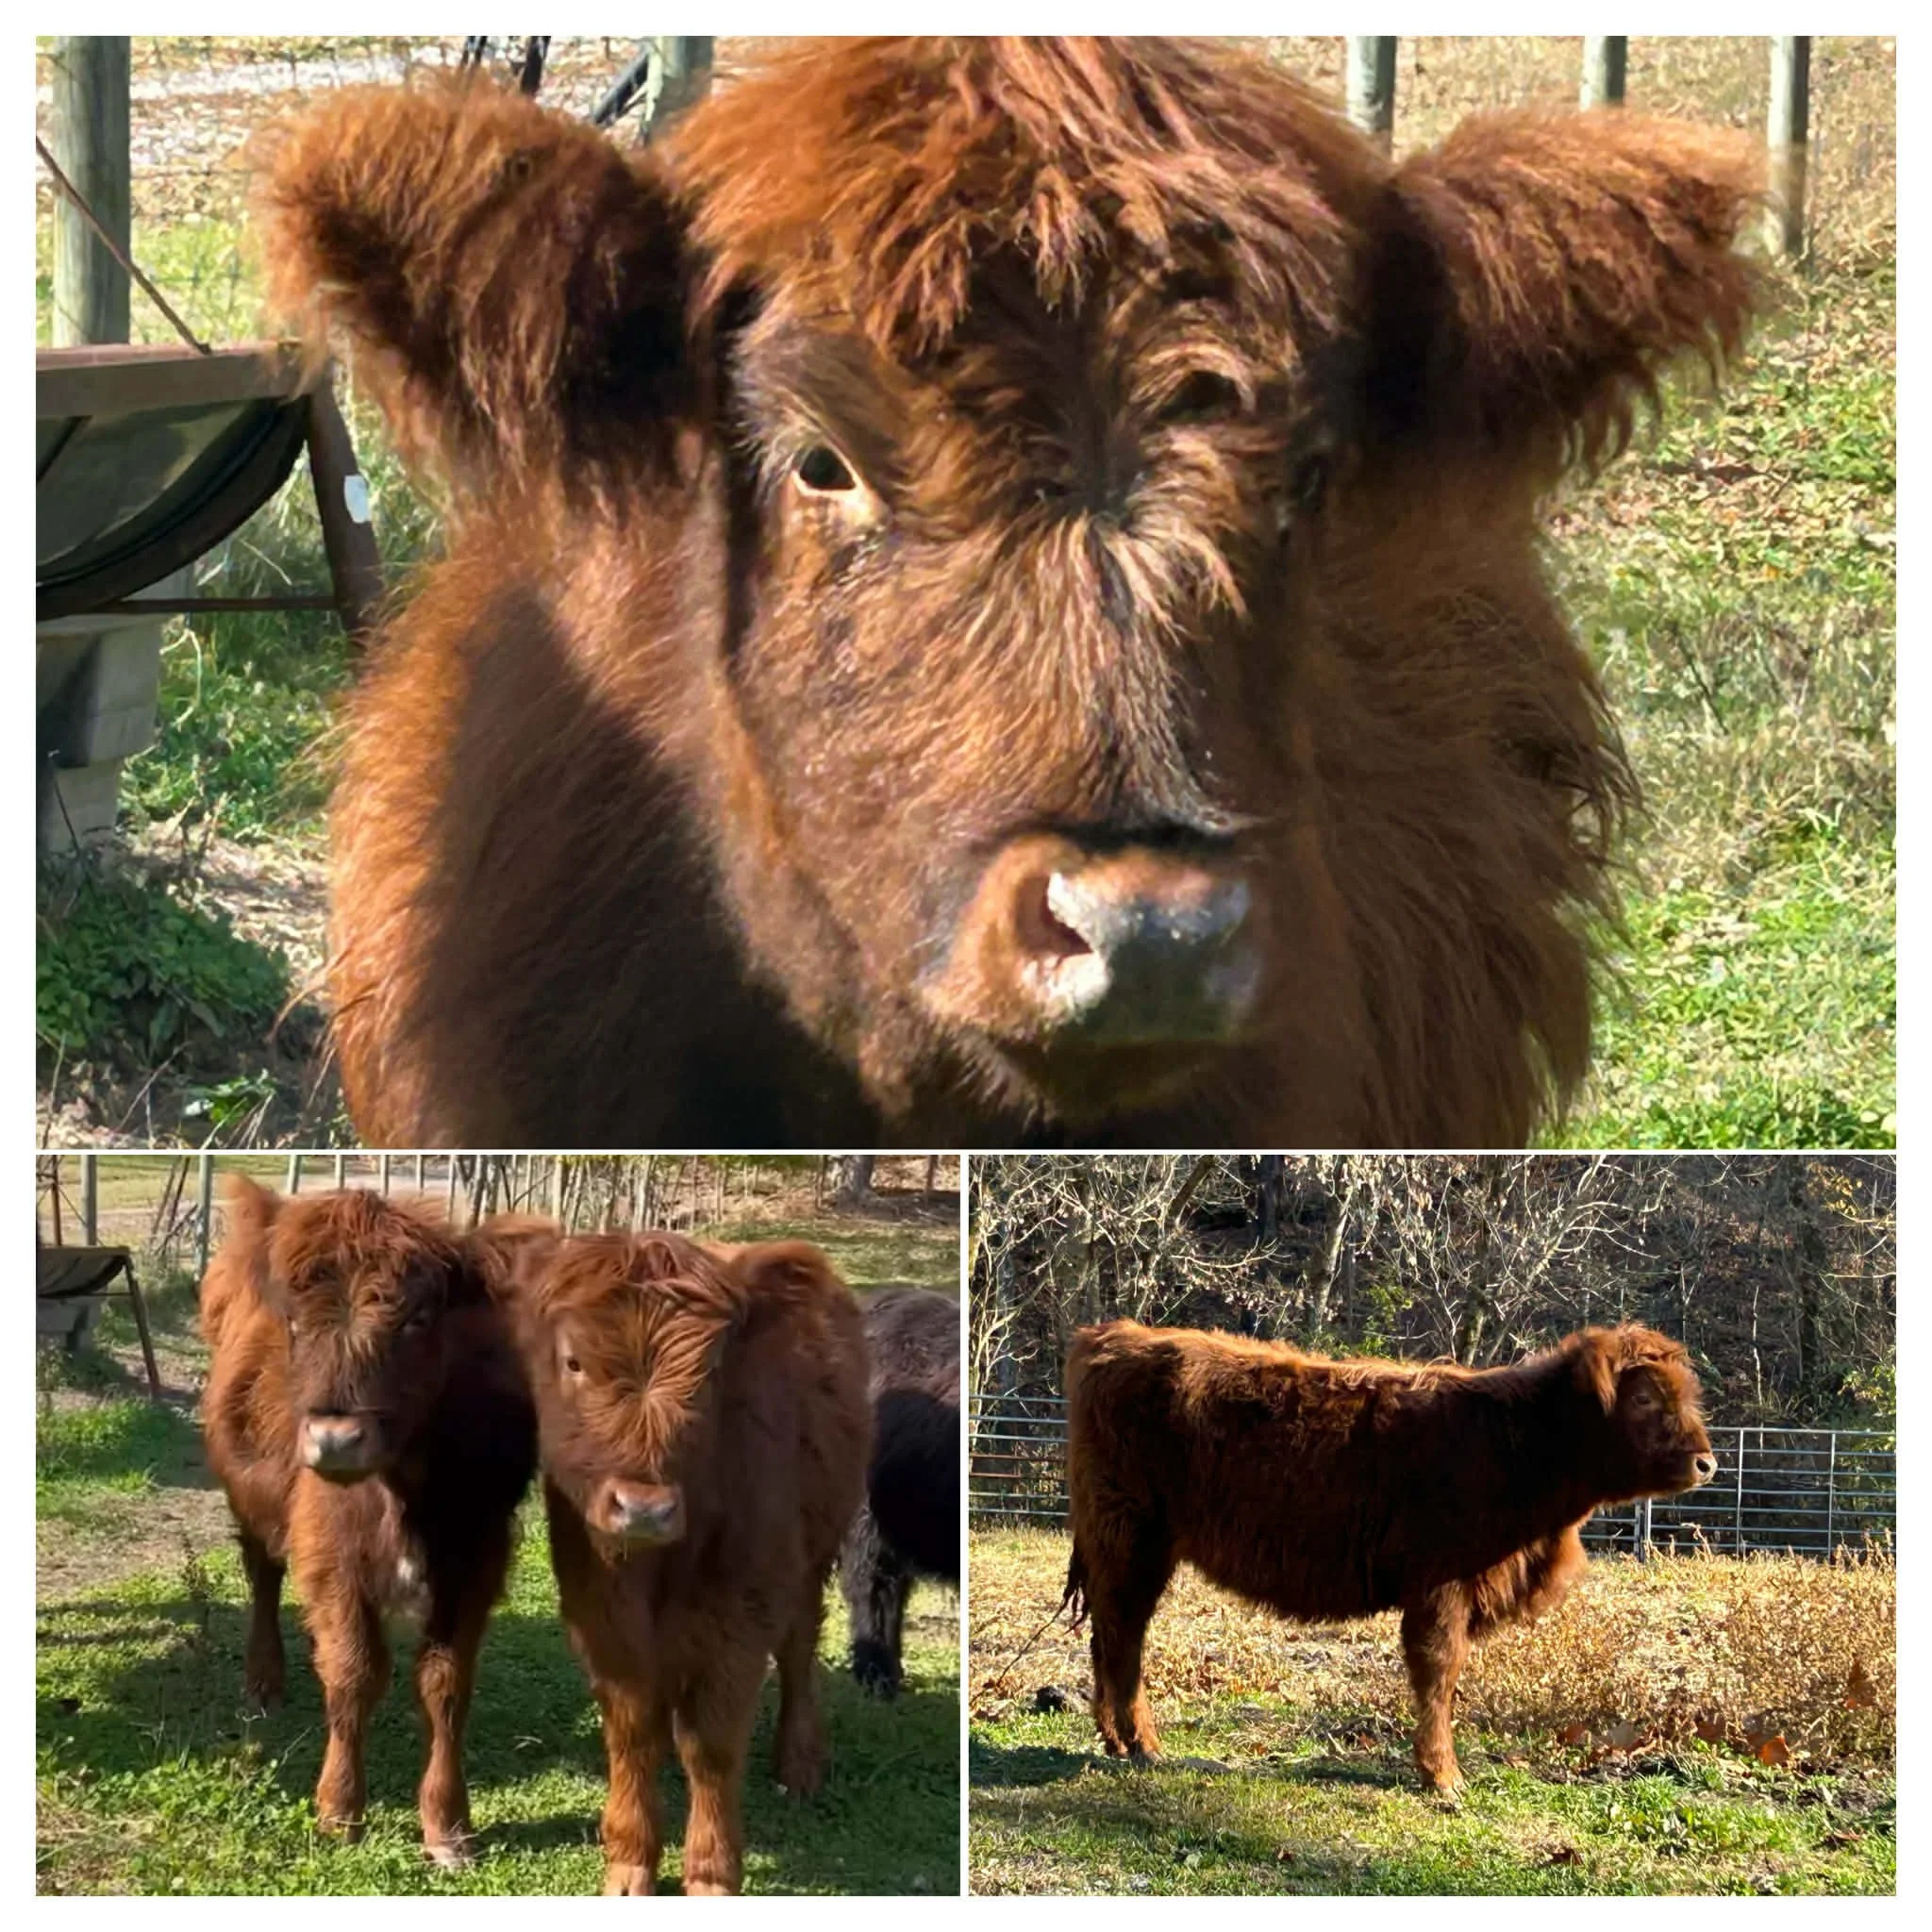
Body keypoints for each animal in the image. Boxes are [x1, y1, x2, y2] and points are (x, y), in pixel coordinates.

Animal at [197, 1180, 545, 1865]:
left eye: (417, 1319)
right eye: (295, 1320)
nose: (335, 1440)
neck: (404, 1483)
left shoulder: (475, 1556)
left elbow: (445, 1684)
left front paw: (448, 1826)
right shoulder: (334, 1557)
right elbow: (354, 1675)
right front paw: (340, 1809)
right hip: (251, 1497)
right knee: (262, 1574)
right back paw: (264, 1682)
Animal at [495, 1230, 869, 1894]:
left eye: (713, 1369)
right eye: (573, 1362)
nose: (644, 1508)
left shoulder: (742, 1612)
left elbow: (712, 1744)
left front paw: (711, 1871)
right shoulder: (600, 1611)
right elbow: (632, 1731)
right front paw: (629, 1860)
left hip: (812, 1556)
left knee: (799, 1651)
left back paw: (799, 1762)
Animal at [1064, 1319, 1715, 1794]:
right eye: (1643, 1398)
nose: (1705, 1461)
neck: (1515, 1441)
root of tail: (1113, 1337)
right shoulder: (1439, 1585)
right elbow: (1438, 1671)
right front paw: (1443, 1776)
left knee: (1112, 1635)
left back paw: (1119, 1739)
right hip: (1131, 1540)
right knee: (1123, 1635)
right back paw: (1142, 1743)